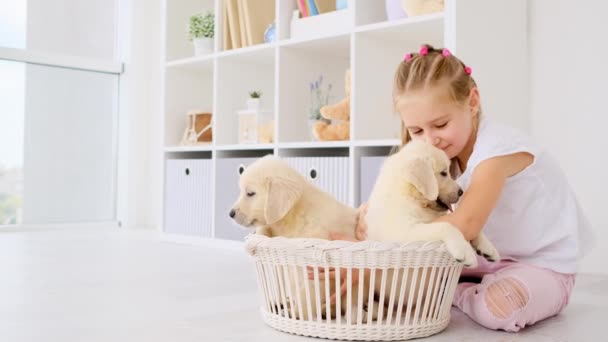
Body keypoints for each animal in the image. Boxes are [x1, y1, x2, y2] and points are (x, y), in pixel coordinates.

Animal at [230, 156, 372, 324]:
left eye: (250, 193)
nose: (230, 213)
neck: (295, 213)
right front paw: (258, 235)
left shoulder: (314, 269)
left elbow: (307, 294)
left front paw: (297, 314)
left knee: (347, 307)